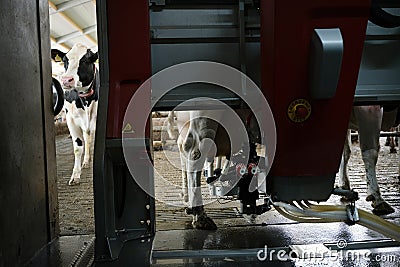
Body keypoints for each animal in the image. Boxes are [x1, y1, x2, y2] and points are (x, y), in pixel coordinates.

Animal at [51, 44, 99, 186]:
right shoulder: (71, 120)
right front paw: (75, 175)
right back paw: (85, 162)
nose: (66, 80)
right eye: (65, 60)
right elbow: (78, 148)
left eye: (86, 60)